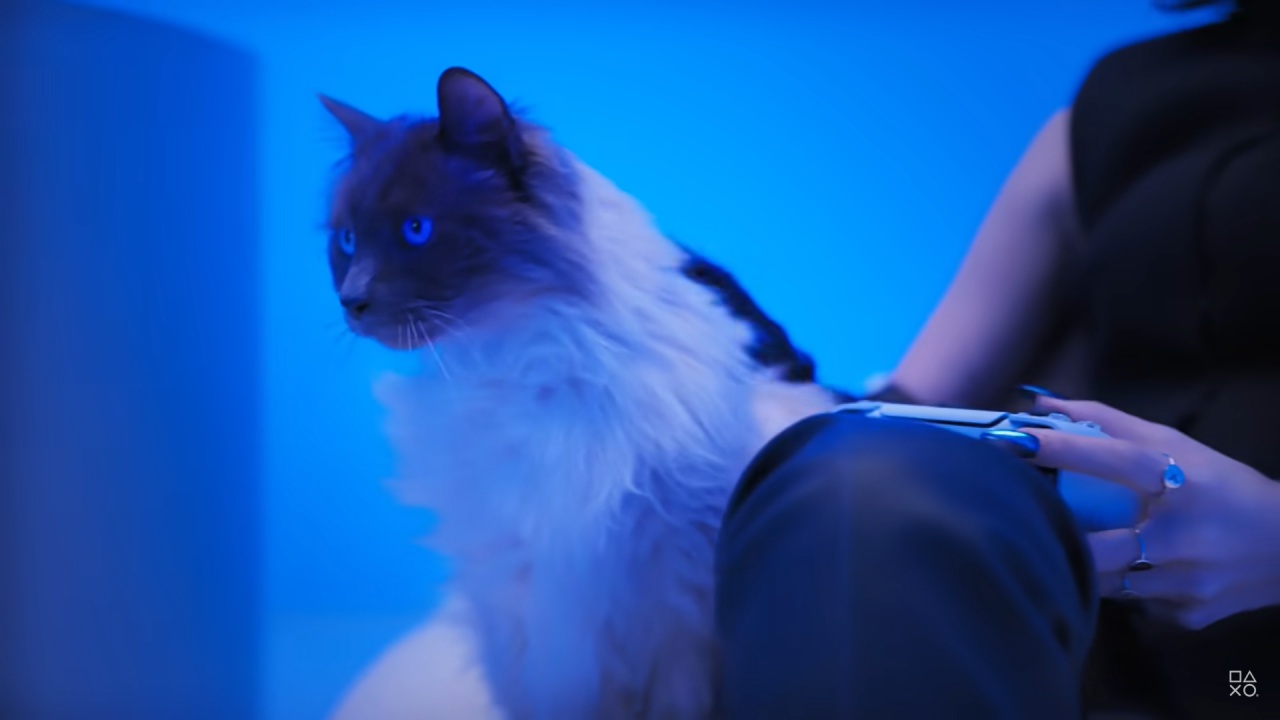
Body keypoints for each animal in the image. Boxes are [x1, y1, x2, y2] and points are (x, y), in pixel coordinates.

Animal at [322, 67, 847, 720]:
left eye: (415, 231)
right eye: (346, 240)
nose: (351, 300)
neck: (518, 356)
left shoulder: (670, 593)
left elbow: (677, 697)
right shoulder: (518, 585)